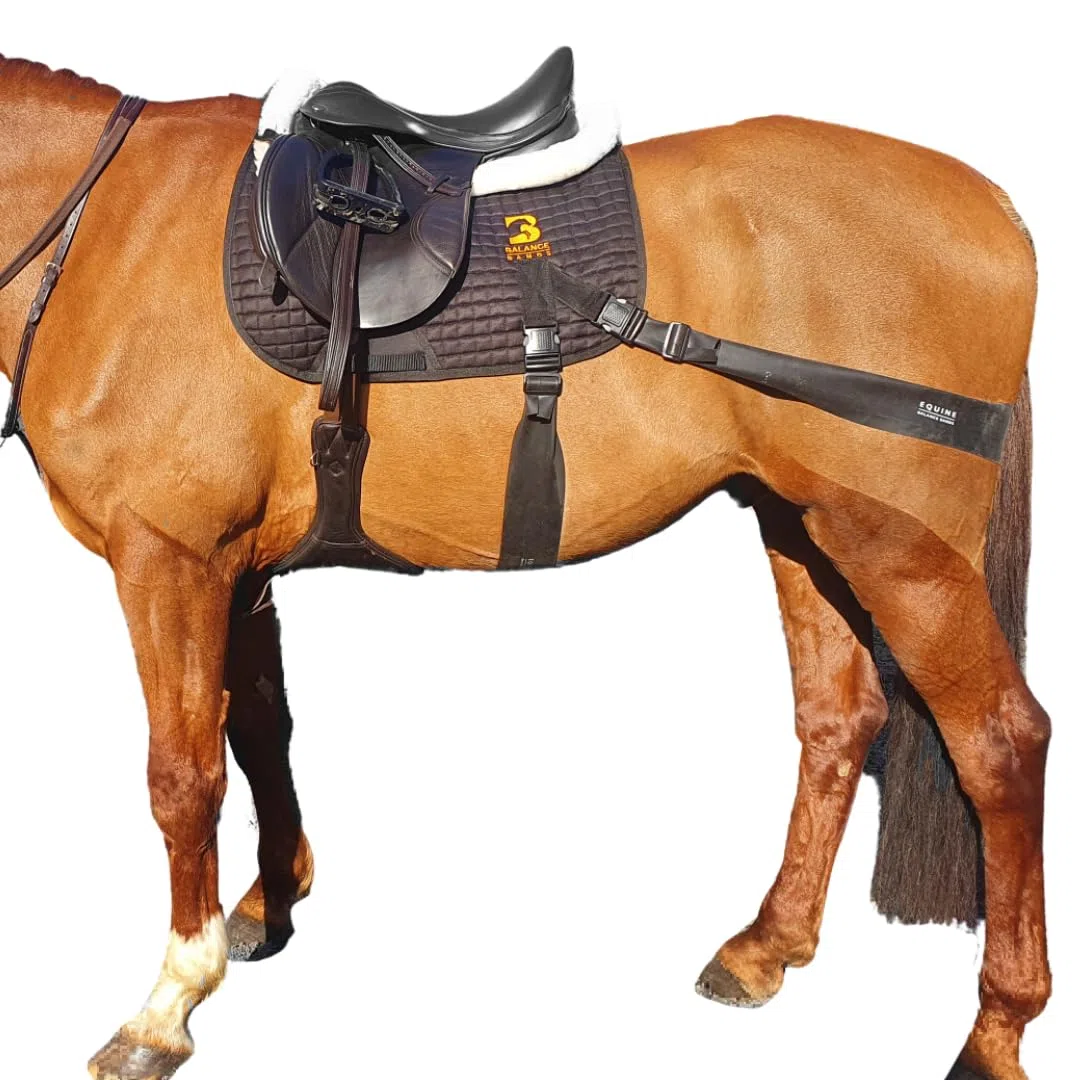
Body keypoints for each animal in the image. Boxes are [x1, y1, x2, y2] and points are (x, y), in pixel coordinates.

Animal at [0, 56, 1047, 1080]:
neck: (109, 224)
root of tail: (996, 205)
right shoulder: (239, 569)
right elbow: (260, 729)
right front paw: (274, 899)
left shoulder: (169, 558)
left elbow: (183, 777)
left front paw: (169, 1001)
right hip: (806, 524)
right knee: (840, 722)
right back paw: (766, 947)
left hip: (904, 552)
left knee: (1001, 746)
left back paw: (997, 1030)